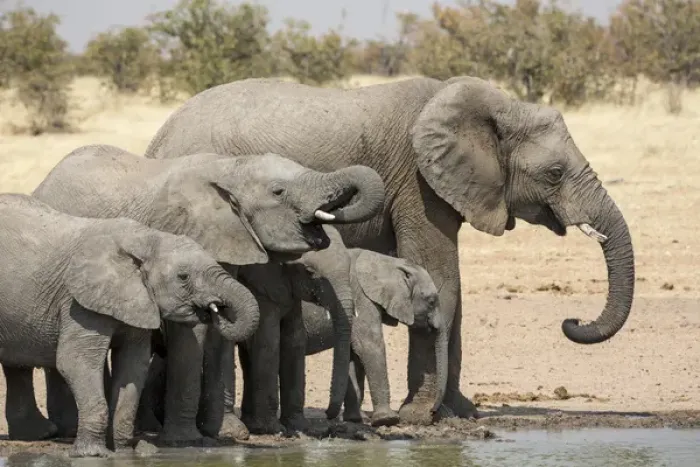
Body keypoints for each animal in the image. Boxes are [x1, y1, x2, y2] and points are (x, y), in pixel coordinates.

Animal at [0, 193, 259, 458]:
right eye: (183, 277)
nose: (217, 309)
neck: (146, 239)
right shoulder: (78, 302)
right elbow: (76, 362)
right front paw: (93, 455)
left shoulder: (138, 301)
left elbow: (133, 364)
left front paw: (127, 452)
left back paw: (36, 434)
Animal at [30, 144, 385, 443]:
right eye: (278, 191)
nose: (331, 420)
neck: (230, 168)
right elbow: (191, 331)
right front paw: (185, 440)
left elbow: (220, 339)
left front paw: (227, 432)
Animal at [302, 248, 442, 427]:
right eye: (431, 301)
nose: (432, 412)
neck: (388, 262)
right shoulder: (361, 298)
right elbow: (369, 346)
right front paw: (387, 419)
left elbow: (354, 356)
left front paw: (356, 419)